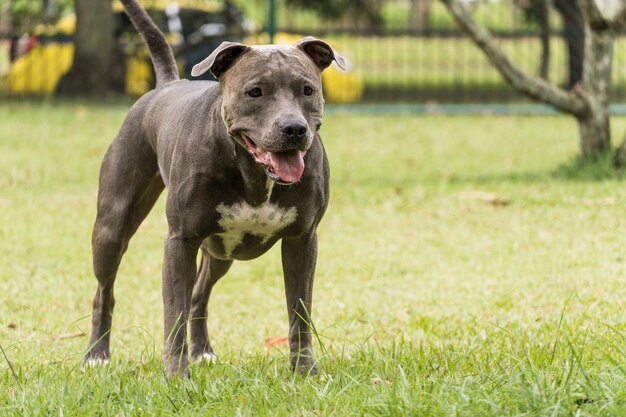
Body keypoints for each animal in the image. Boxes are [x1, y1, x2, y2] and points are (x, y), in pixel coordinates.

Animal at [82, 0, 344, 376]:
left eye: (307, 90)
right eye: (255, 91)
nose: (294, 129)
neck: (253, 173)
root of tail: (166, 84)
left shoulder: (302, 241)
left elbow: (299, 311)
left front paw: (304, 371)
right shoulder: (181, 241)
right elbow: (173, 313)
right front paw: (177, 376)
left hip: (222, 251)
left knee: (199, 294)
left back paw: (202, 350)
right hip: (112, 227)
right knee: (105, 291)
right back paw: (96, 354)